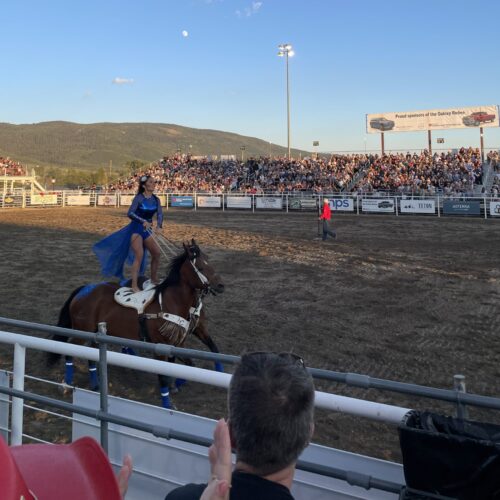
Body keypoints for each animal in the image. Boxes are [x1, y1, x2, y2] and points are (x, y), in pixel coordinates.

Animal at [47, 240, 225, 408]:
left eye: (209, 261)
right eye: (200, 267)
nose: (221, 285)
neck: (170, 303)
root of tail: (84, 289)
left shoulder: (178, 342)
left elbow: (189, 364)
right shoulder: (160, 347)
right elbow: (164, 376)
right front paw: (167, 405)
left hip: (95, 334)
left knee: (91, 356)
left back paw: (96, 385)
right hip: (81, 332)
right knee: (69, 351)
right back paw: (66, 385)